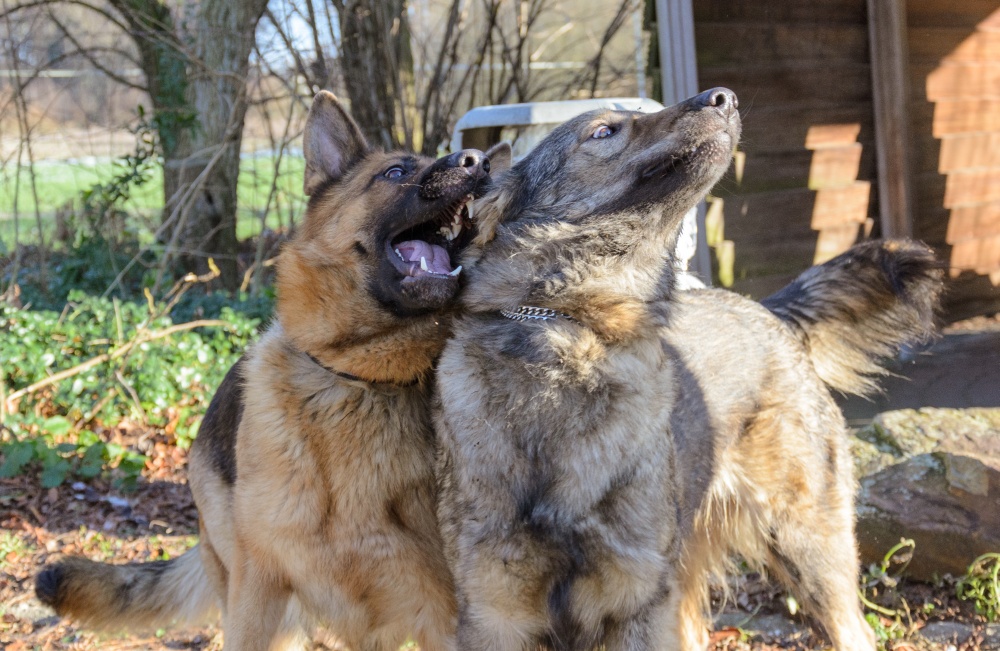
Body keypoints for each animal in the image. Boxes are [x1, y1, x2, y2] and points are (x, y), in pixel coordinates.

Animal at [434, 88, 940, 651]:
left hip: (805, 549)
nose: (724, 97)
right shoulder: (493, 617)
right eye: (604, 131)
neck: (576, 332)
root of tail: (767, 311)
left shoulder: (638, 602)